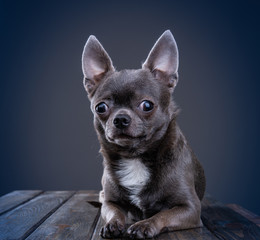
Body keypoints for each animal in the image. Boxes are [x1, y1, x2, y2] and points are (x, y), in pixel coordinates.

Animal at [81, 30, 205, 238]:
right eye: (101, 107)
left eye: (147, 105)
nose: (120, 119)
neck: (135, 157)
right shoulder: (110, 202)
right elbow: (113, 210)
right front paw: (113, 224)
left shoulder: (190, 208)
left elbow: (163, 215)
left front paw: (145, 225)